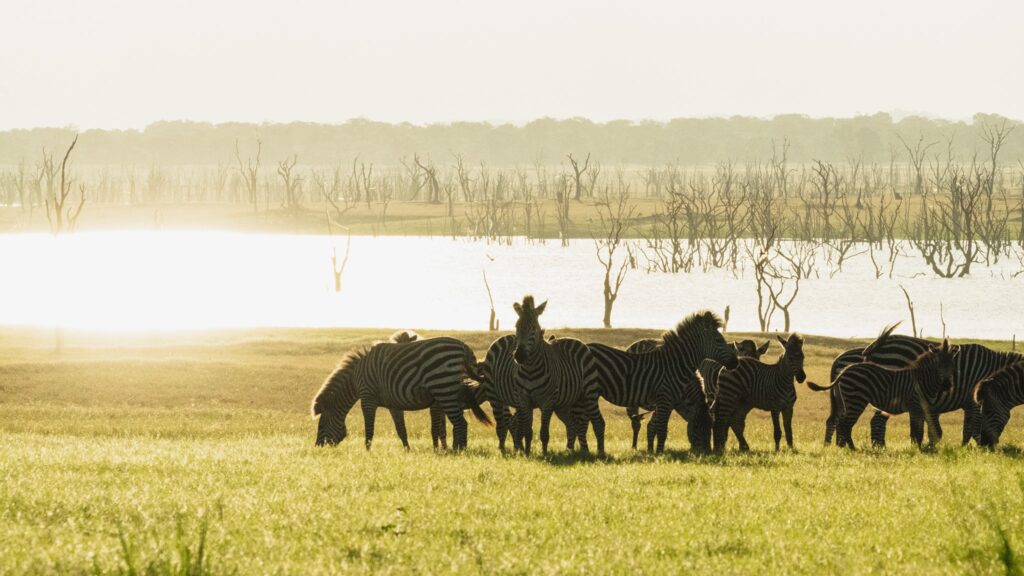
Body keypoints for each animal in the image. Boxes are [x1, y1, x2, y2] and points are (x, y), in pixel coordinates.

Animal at [311, 336, 492, 450]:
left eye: (321, 425)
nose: (317, 448)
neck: (355, 379)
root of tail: (463, 346)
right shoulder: (393, 403)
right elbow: (401, 430)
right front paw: (407, 450)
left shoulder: (367, 398)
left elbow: (369, 428)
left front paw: (367, 451)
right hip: (447, 392)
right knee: (458, 424)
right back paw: (458, 450)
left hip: (443, 388)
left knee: (461, 424)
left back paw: (457, 452)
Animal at [510, 295, 605, 456]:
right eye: (516, 327)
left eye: (534, 328)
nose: (519, 356)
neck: (530, 369)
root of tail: (576, 340)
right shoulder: (523, 400)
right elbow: (528, 431)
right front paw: (527, 454)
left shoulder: (547, 402)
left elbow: (544, 433)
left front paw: (544, 454)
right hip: (564, 405)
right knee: (573, 426)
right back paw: (573, 452)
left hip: (589, 394)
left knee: (598, 422)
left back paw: (599, 453)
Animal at [588, 310, 739, 454]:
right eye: (719, 340)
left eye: (711, 427)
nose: (736, 362)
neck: (675, 365)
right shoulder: (665, 399)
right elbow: (660, 429)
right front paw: (659, 454)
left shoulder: (667, 402)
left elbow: (657, 427)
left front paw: (653, 451)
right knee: (633, 423)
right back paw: (631, 448)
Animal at [807, 339, 956, 450]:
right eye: (938, 365)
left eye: (952, 365)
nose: (947, 385)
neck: (922, 379)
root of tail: (845, 369)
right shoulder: (915, 406)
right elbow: (917, 432)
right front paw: (917, 450)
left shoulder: (925, 409)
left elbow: (924, 431)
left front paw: (921, 449)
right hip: (856, 399)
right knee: (845, 424)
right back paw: (851, 448)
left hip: (846, 399)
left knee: (839, 422)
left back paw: (842, 447)